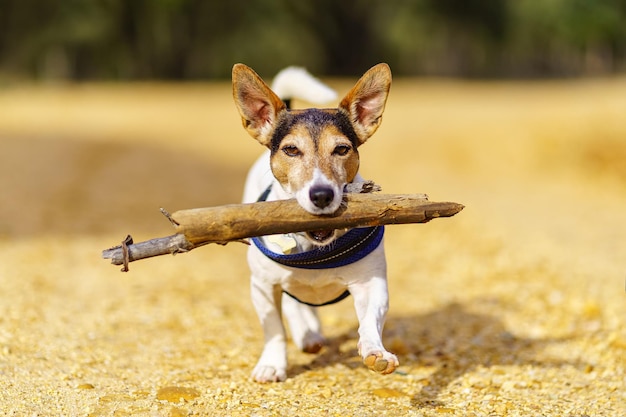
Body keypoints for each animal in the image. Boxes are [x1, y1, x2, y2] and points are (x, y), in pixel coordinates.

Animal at [229, 63, 394, 382]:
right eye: (291, 150)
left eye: (342, 149)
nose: (321, 194)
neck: (315, 249)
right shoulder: (263, 286)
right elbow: (274, 328)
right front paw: (272, 364)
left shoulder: (371, 284)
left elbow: (370, 320)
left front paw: (376, 352)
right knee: (293, 304)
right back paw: (307, 335)